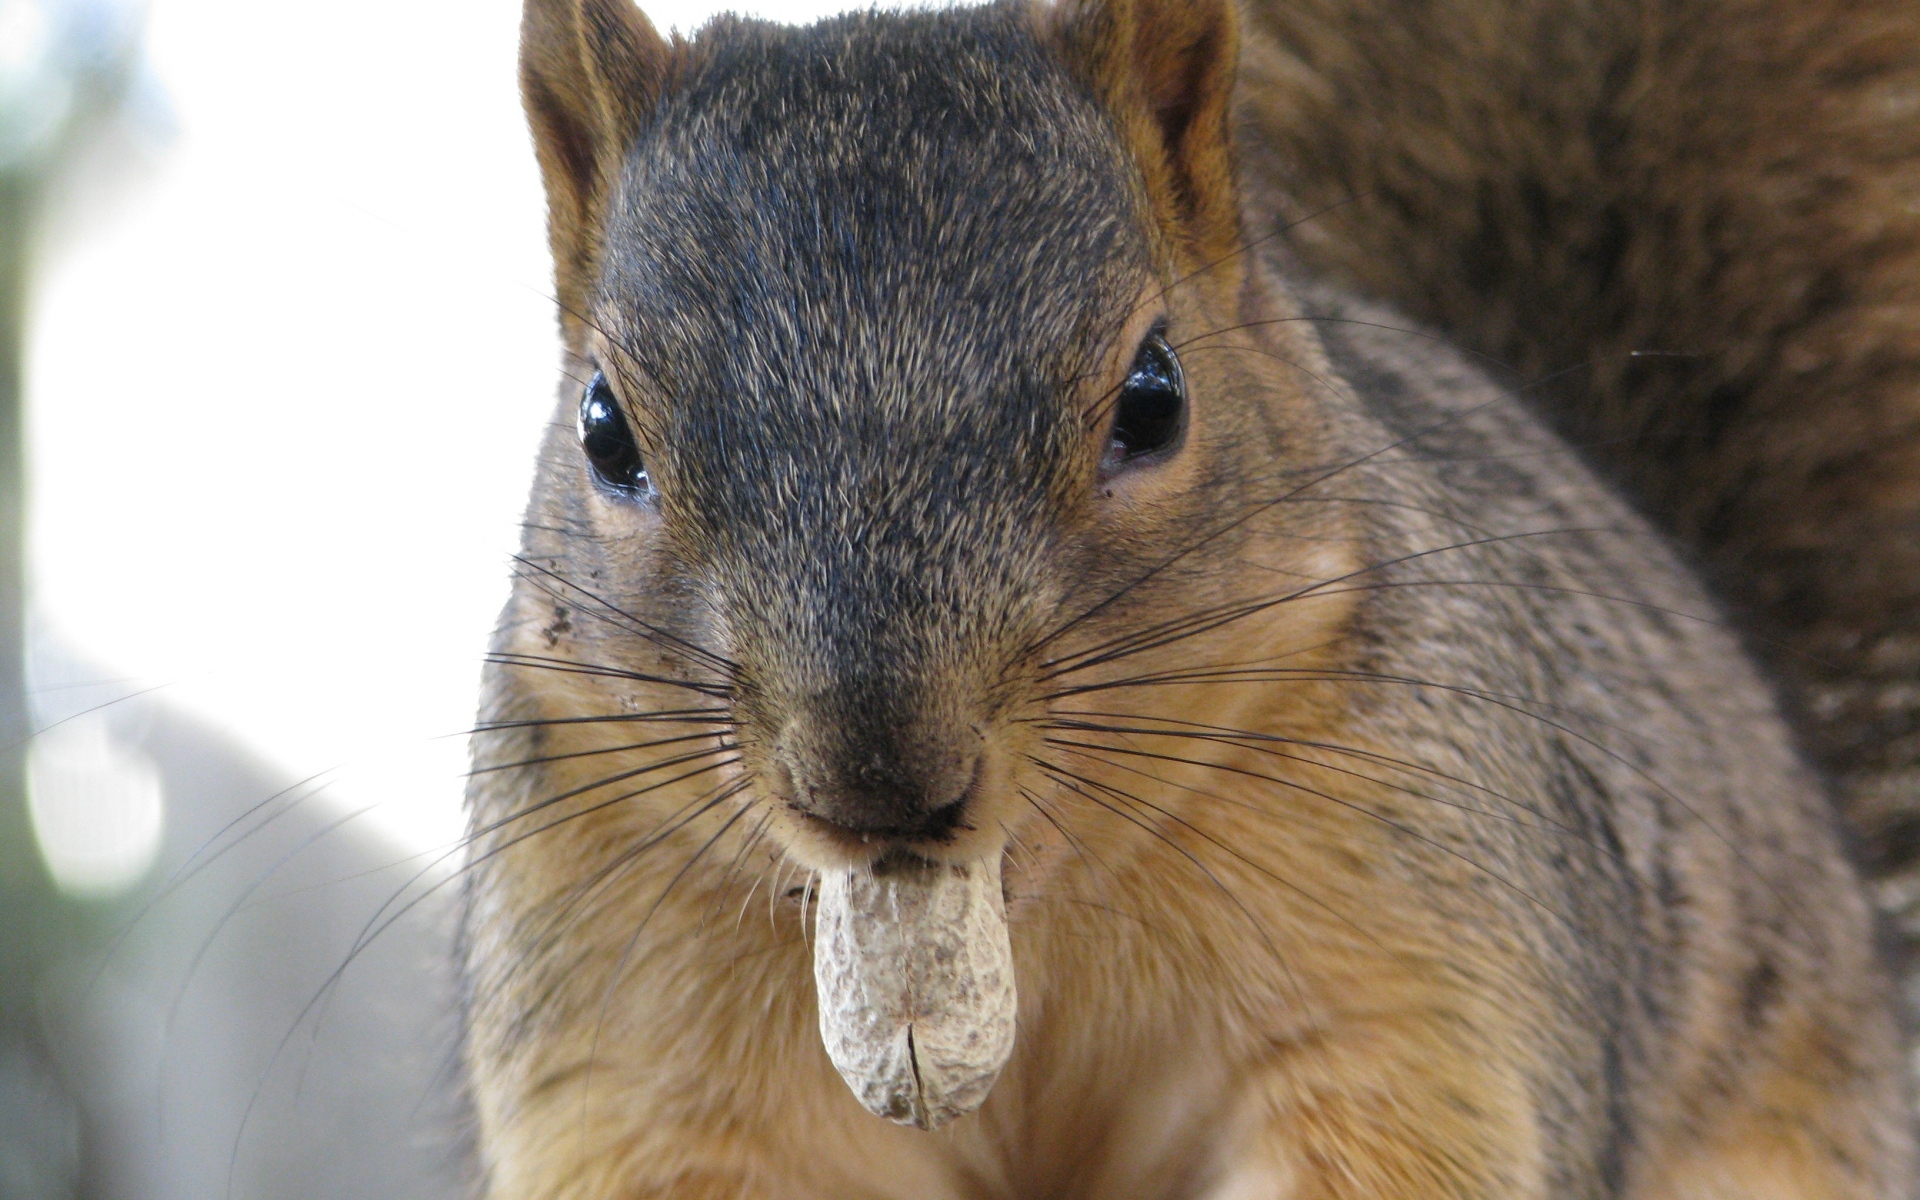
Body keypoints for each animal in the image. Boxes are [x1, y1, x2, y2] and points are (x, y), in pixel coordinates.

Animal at [459, 0, 1920, 1195]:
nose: (878, 782)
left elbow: (1394, 1137)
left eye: (1155, 398)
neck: (1021, 910)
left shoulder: (1419, 960)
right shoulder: (636, 1034)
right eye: (605, 431)